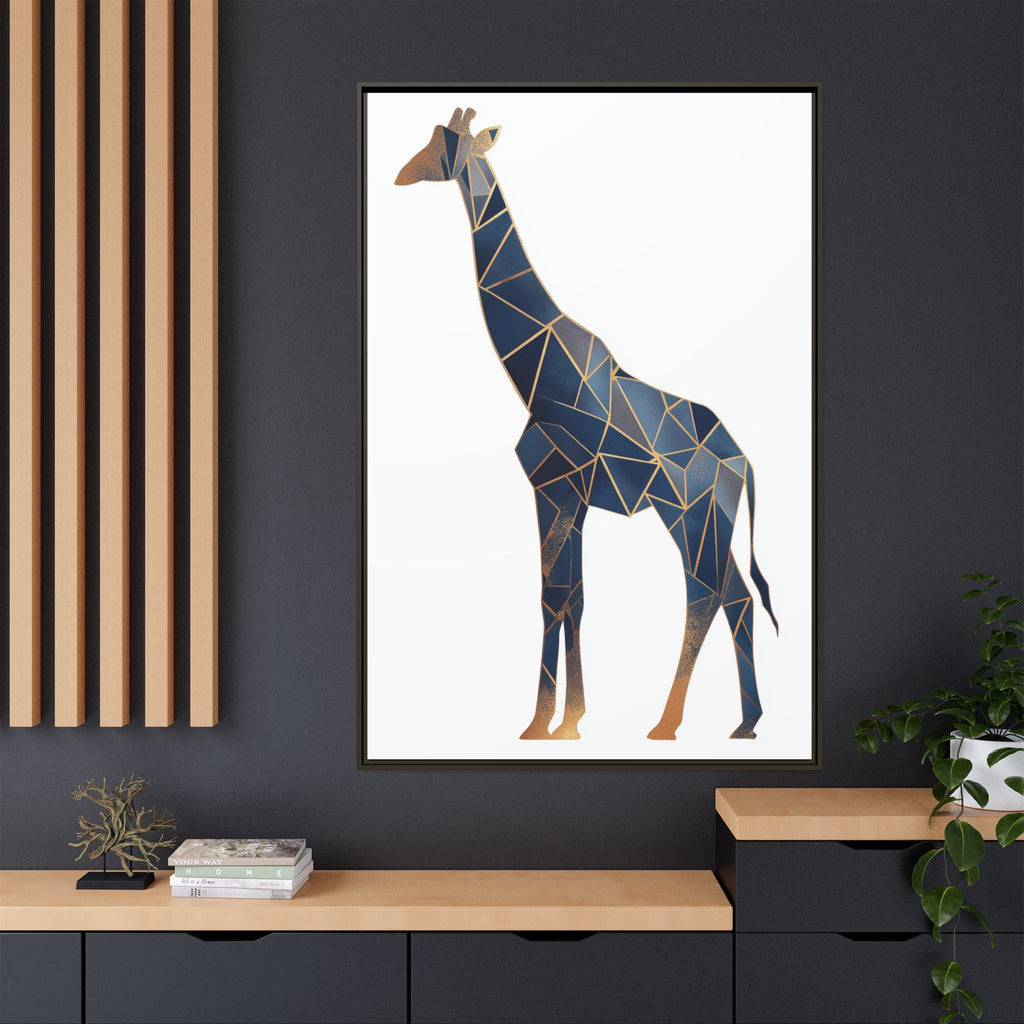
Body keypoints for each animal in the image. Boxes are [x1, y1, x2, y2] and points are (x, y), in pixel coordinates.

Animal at [395, 107, 778, 742]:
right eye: (430, 138)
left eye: (445, 145)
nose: (402, 174)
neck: (536, 373)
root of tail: (742, 462)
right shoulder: (568, 497)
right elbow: (570, 597)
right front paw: (563, 720)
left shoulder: (555, 487)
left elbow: (555, 597)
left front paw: (547, 723)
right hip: (709, 519)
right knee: (736, 597)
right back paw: (745, 723)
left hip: (689, 514)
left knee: (705, 595)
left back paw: (667, 724)